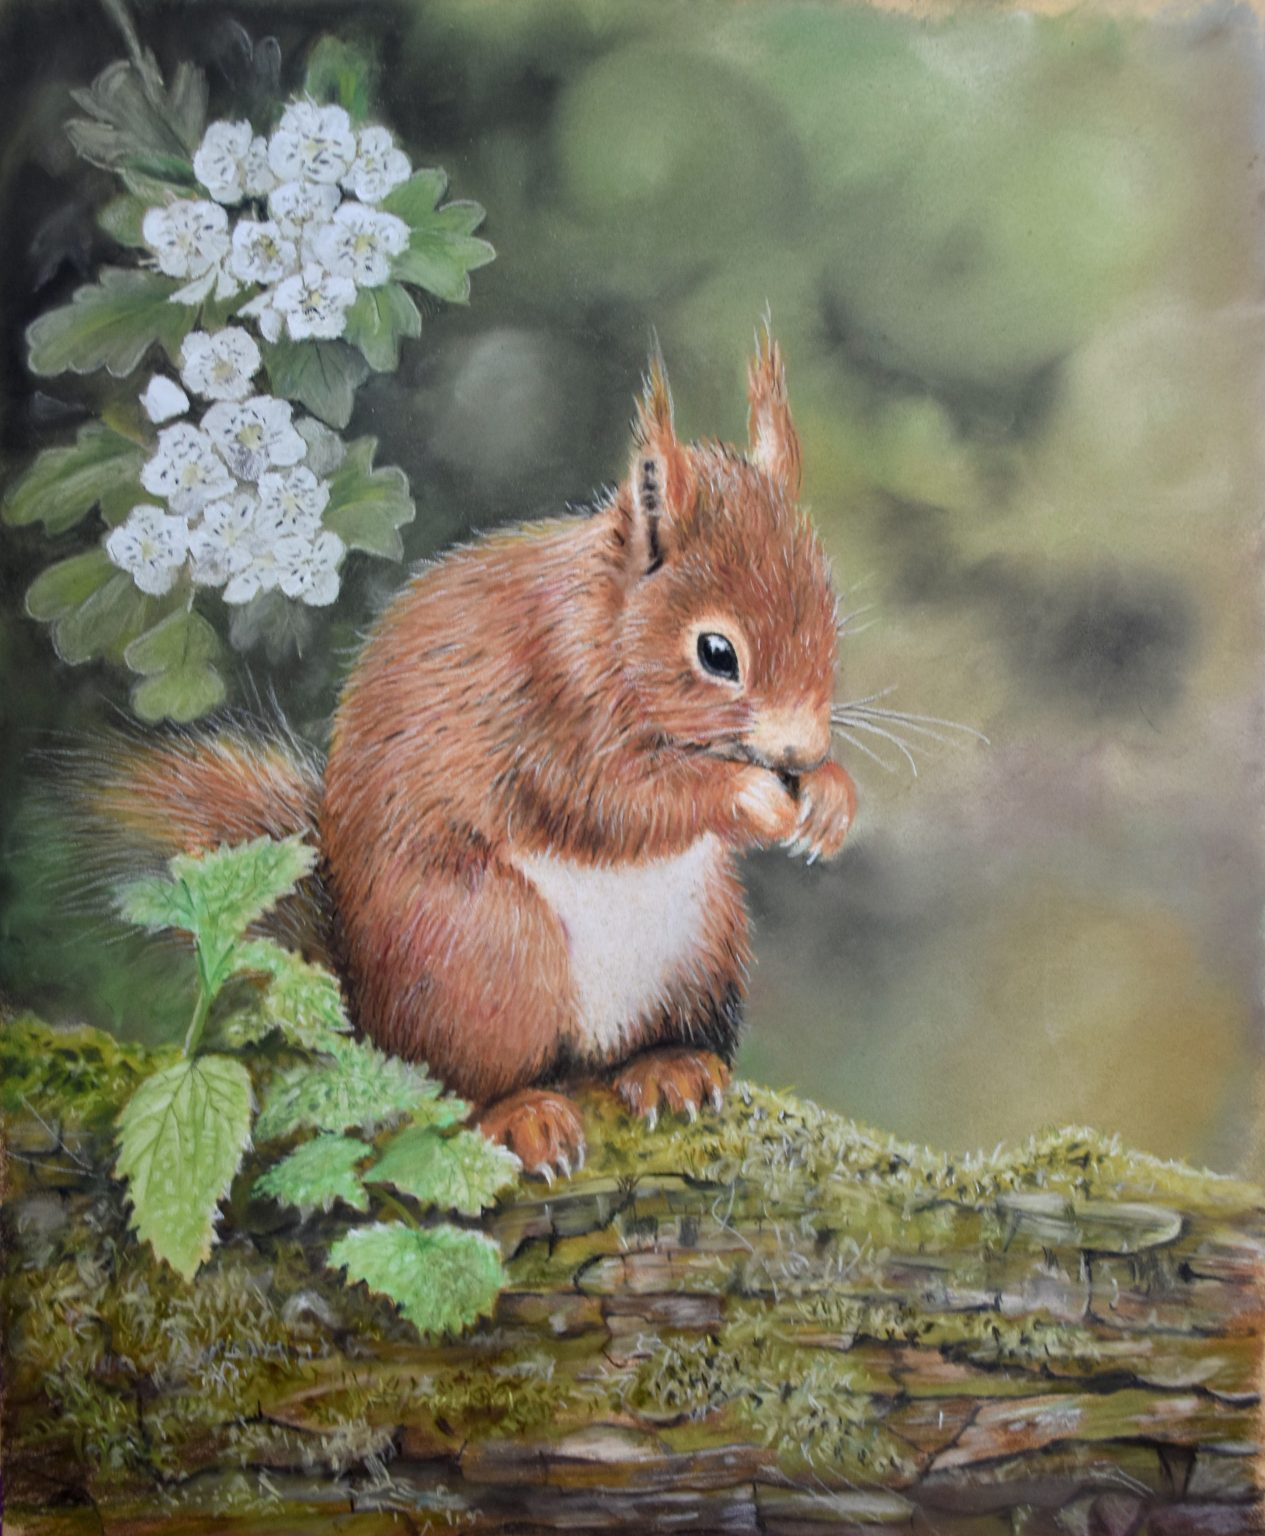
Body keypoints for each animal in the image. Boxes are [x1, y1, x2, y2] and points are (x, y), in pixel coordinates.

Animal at [91, 329, 856, 1177]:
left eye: (831, 617)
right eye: (716, 653)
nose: (801, 747)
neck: (604, 629)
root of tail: (372, 1019)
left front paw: (831, 798)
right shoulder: (545, 713)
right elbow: (613, 803)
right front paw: (746, 797)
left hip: (704, 945)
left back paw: (671, 1067)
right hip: (484, 951)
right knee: (462, 1086)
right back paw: (523, 1114)